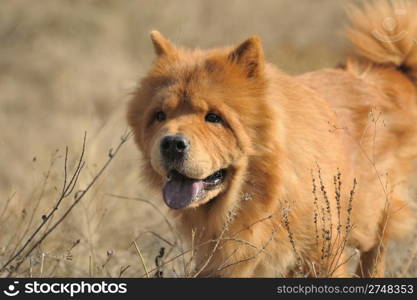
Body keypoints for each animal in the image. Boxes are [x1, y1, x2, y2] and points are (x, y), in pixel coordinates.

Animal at [127, 0, 416, 276]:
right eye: (160, 116)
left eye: (214, 117)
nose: (171, 144)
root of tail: (382, 73)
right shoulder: (222, 261)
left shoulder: (321, 252)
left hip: (368, 214)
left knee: (376, 247)